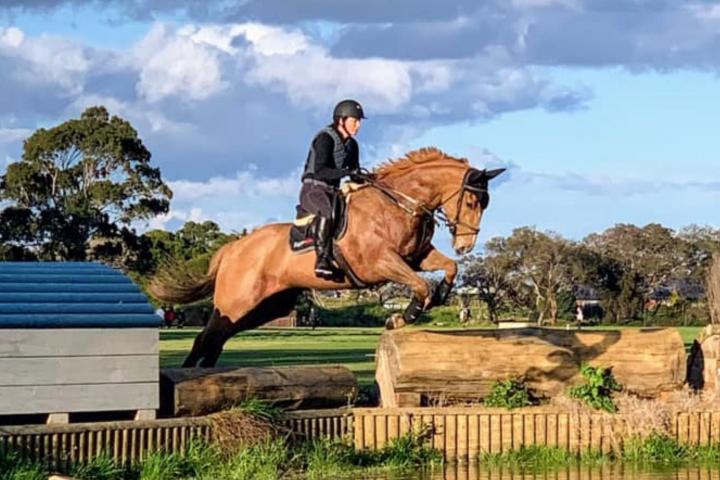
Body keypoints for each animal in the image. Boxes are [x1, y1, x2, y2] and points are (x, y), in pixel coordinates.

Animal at [148, 147, 504, 368]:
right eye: (472, 201)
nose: (466, 246)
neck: (399, 204)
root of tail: (233, 248)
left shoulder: (416, 257)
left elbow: (447, 268)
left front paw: (440, 296)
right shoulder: (380, 263)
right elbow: (420, 286)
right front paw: (403, 316)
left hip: (263, 308)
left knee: (216, 341)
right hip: (237, 302)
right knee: (204, 340)